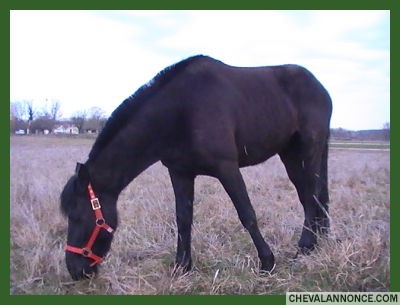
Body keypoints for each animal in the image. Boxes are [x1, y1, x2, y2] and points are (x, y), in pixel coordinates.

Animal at [61, 54, 332, 278]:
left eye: (77, 216)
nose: (75, 270)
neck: (182, 109)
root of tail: (321, 88)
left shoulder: (227, 168)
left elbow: (247, 214)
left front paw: (267, 262)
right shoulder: (180, 172)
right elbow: (183, 218)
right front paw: (182, 266)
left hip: (307, 152)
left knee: (311, 197)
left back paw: (304, 248)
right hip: (291, 156)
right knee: (311, 196)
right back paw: (319, 241)